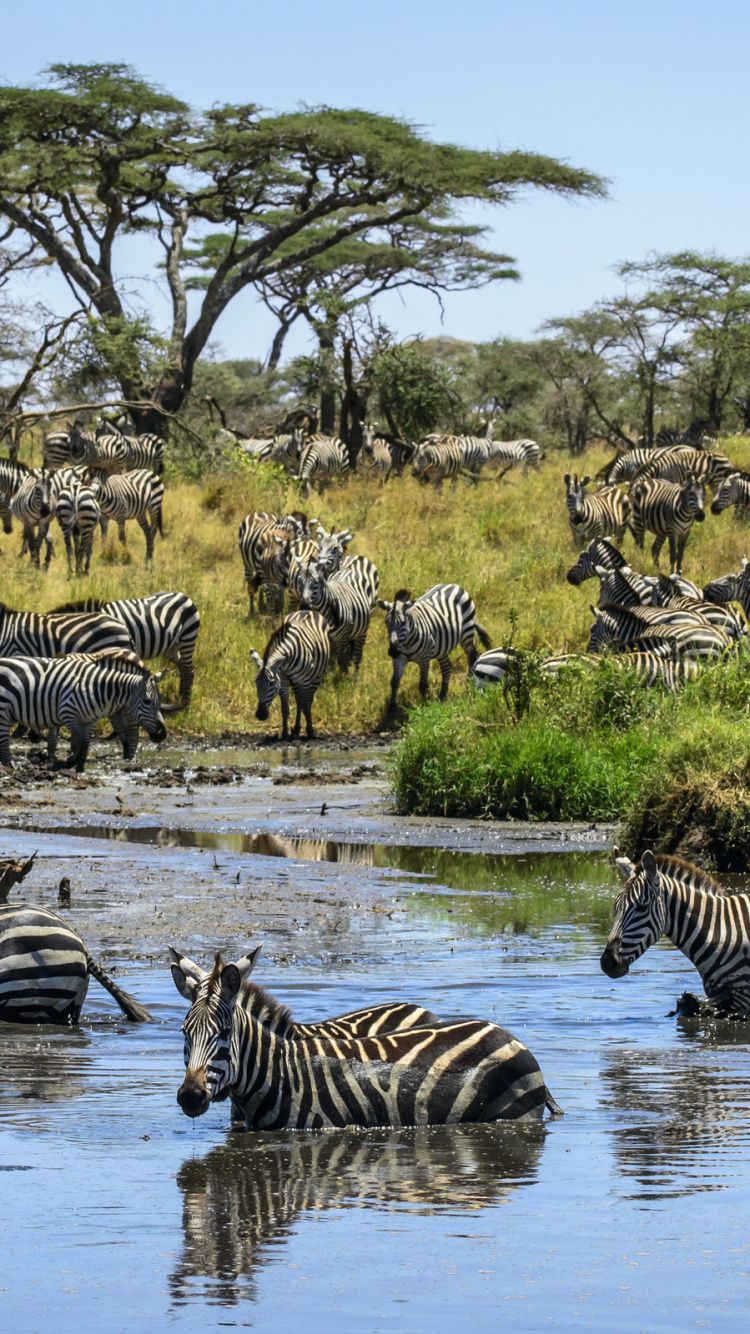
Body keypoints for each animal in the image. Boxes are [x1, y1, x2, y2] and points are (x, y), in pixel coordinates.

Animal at [0, 651, 167, 770]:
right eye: (147, 701)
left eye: (159, 701)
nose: (162, 734)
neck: (96, 688)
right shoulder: (68, 714)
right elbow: (77, 741)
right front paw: (69, 761)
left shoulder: (91, 719)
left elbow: (85, 743)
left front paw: (78, 765)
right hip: (4, 709)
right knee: (3, 739)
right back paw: (10, 765)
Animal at [49, 592, 200, 708]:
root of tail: (184, 596)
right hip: (171, 647)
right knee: (183, 667)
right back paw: (180, 699)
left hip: (187, 637)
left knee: (189, 670)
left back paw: (185, 703)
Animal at [171, 945, 561, 1127]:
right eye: (184, 1032)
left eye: (224, 1032)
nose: (190, 1096)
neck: (278, 1075)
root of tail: (506, 1033)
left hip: (514, 1118)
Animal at [250, 609, 331, 740]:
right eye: (256, 683)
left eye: (271, 683)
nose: (260, 715)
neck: (286, 663)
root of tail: (307, 610)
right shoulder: (283, 680)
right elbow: (285, 709)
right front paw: (285, 733)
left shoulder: (305, 680)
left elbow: (307, 706)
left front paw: (310, 731)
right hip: (295, 681)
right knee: (299, 700)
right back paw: (296, 729)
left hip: (315, 677)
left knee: (308, 700)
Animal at [377, 583, 491, 717]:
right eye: (386, 622)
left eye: (403, 622)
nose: (392, 652)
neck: (407, 642)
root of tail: (453, 584)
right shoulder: (399, 659)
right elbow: (394, 681)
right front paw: (391, 709)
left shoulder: (424, 659)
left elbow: (422, 684)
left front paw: (423, 706)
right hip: (442, 645)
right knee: (447, 666)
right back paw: (442, 695)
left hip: (466, 633)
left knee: (472, 654)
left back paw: (469, 684)